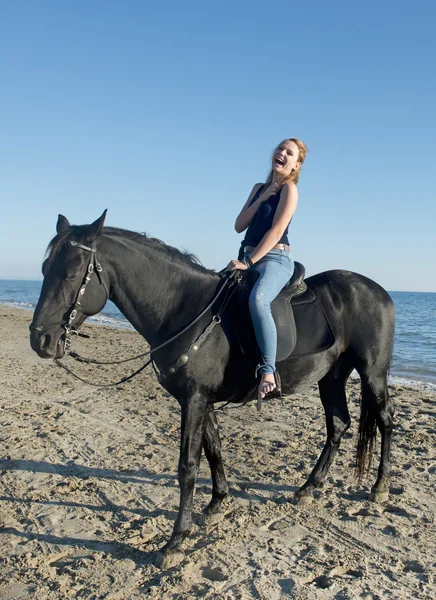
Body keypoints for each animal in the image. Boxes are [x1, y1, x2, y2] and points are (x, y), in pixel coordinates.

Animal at [28, 212, 396, 568]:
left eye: (71, 273)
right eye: (45, 270)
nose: (40, 339)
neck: (183, 310)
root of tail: (379, 291)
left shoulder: (194, 399)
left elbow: (188, 466)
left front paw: (176, 539)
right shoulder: (200, 399)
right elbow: (214, 449)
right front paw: (217, 503)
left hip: (372, 373)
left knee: (385, 420)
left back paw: (379, 487)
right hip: (331, 376)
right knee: (338, 425)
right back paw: (309, 487)